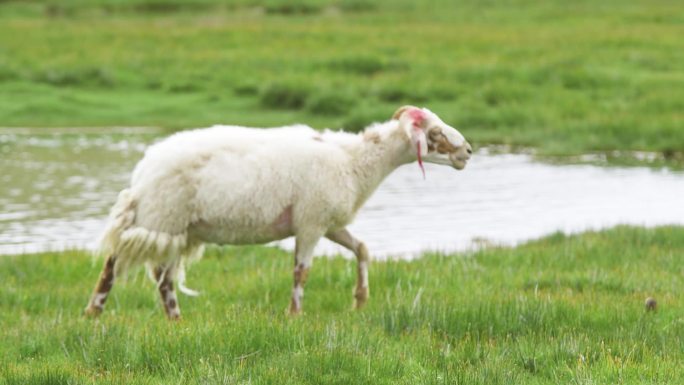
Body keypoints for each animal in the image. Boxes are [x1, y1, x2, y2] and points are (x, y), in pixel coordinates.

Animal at [84, 104, 470, 318]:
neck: (354, 161)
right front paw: (294, 313)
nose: (467, 151)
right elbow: (301, 272)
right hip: (161, 220)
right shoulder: (311, 222)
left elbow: (362, 249)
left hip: (176, 228)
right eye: (435, 132)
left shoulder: (329, 223)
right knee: (116, 264)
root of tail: (142, 173)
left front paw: (360, 300)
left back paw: (174, 321)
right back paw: (95, 312)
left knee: (161, 279)